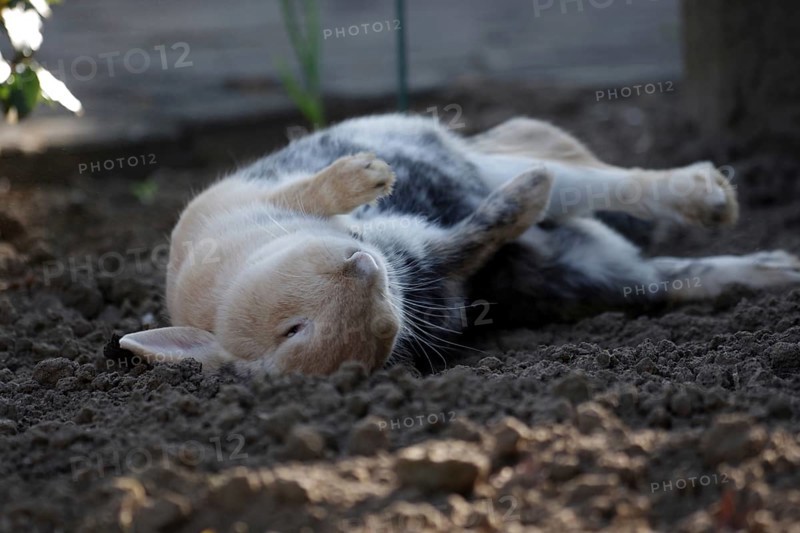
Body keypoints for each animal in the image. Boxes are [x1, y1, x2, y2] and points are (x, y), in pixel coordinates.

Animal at [119, 114, 800, 375]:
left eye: (290, 328)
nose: (363, 269)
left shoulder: (249, 201)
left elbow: (317, 190)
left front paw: (368, 175)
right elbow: (478, 235)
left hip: (482, 164)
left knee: (610, 183)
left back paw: (712, 196)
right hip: (596, 271)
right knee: (678, 271)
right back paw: (779, 270)